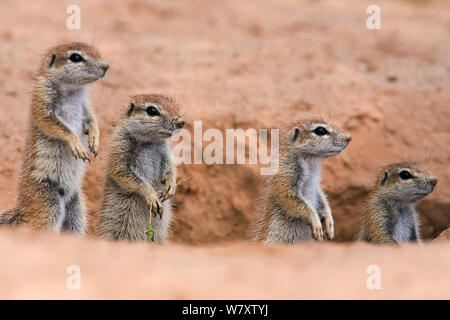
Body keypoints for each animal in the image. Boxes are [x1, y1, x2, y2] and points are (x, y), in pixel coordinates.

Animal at [0, 41, 108, 234]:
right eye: (75, 57)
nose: (106, 66)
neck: (74, 91)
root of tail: (21, 209)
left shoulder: (86, 106)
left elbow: (92, 119)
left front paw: (95, 140)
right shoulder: (42, 98)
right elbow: (54, 124)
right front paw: (77, 144)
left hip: (77, 209)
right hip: (48, 204)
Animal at [96, 94, 185, 241]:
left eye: (176, 105)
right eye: (152, 111)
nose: (182, 122)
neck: (150, 142)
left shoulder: (166, 153)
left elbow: (170, 168)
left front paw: (171, 185)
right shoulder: (119, 149)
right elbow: (124, 174)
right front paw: (151, 195)